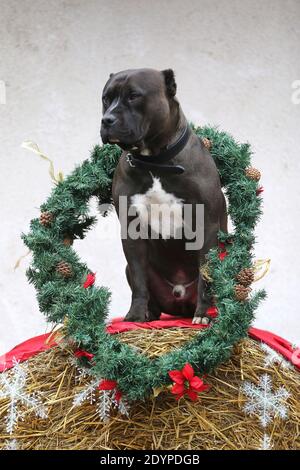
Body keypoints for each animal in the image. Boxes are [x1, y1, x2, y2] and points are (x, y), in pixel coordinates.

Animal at [101, 69, 227, 324]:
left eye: (133, 96)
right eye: (105, 99)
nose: (107, 120)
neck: (155, 162)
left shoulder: (206, 225)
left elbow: (206, 276)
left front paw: (203, 315)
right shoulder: (132, 230)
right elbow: (139, 279)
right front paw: (135, 315)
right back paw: (149, 313)